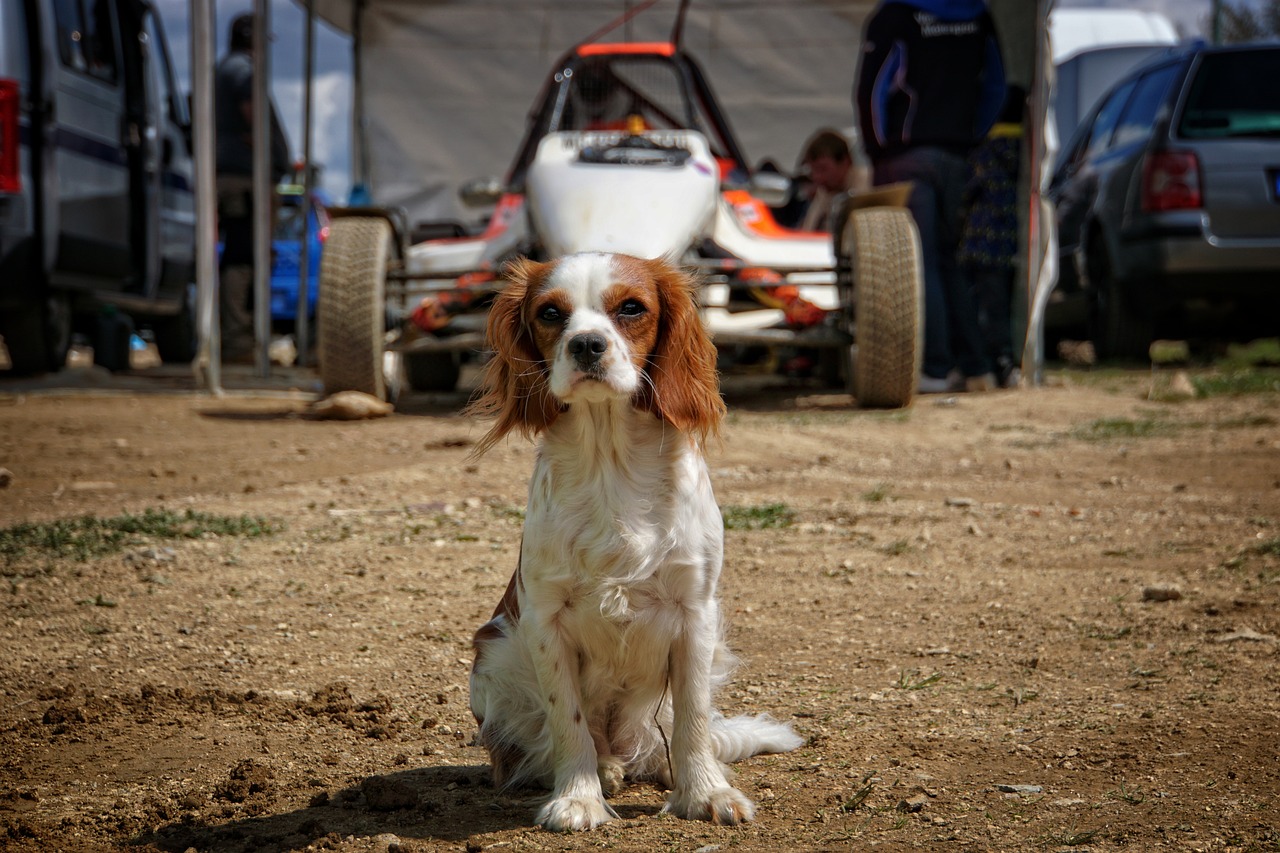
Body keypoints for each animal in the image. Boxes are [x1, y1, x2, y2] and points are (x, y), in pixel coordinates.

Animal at [465, 253, 803, 829]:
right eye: (550, 313)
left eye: (630, 308)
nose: (586, 344)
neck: (611, 463)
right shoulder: (543, 620)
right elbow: (568, 721)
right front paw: (577, 798)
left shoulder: (695, 614)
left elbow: (693, 719)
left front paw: (705, 793)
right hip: (495, 656)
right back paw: (602, 770)